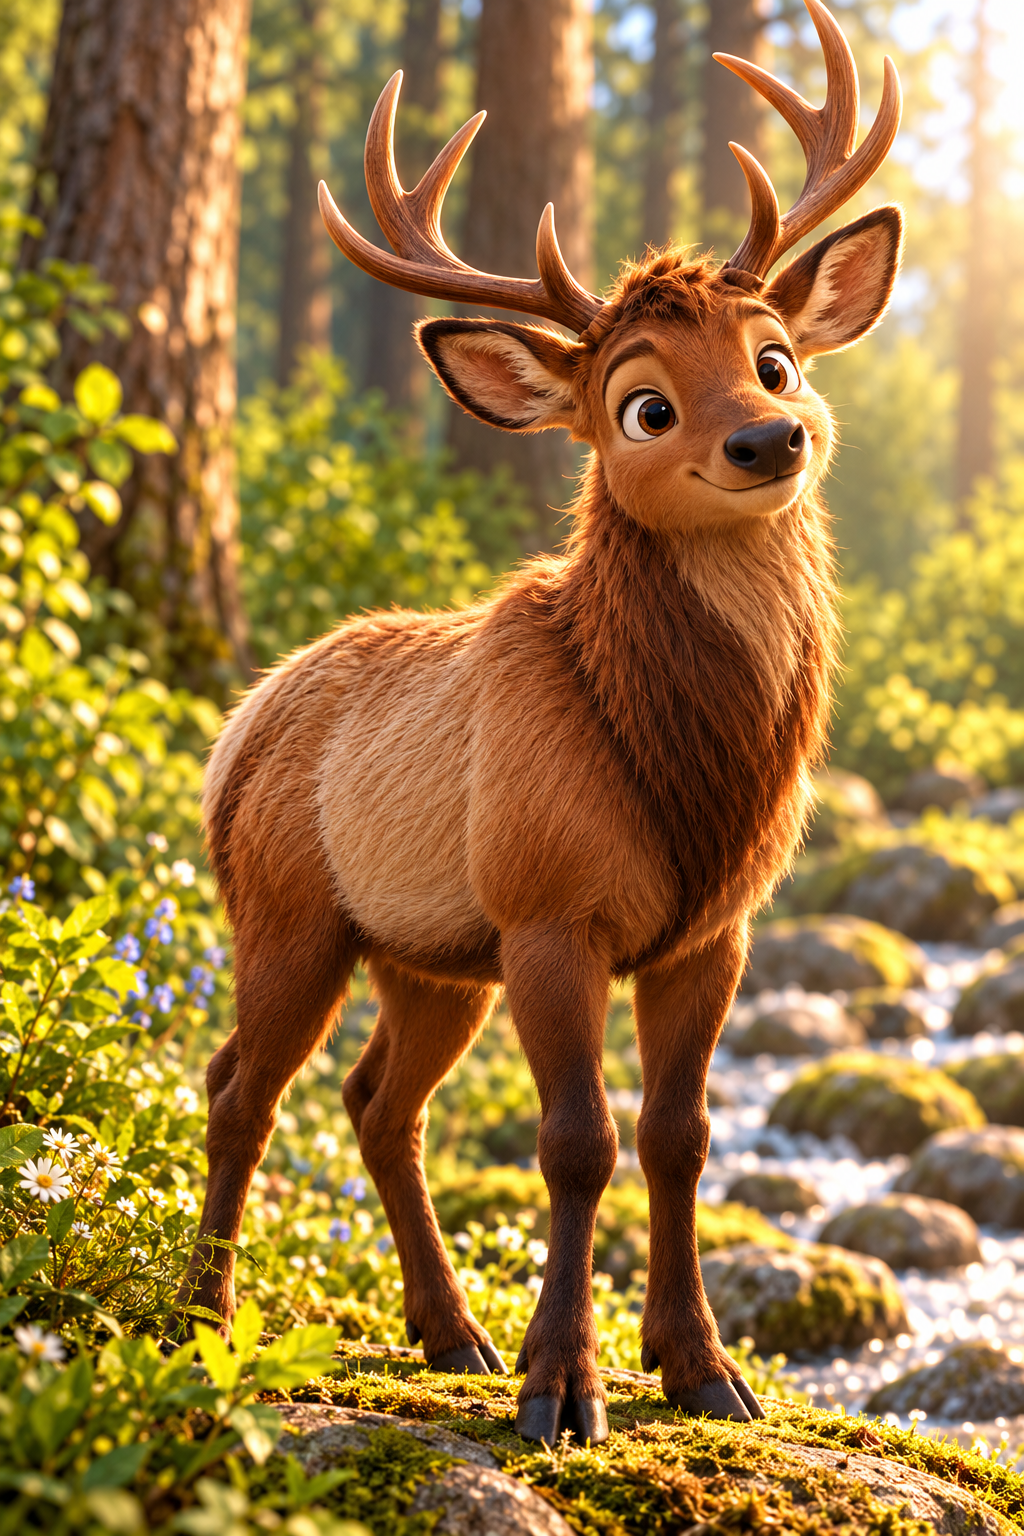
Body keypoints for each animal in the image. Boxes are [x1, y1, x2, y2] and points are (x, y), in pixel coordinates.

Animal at [180, 0, 902, 1447]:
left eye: (776, 358)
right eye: (643, 403)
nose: (771, 438)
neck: (693, 782)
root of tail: (239, 725)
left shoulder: (712, 933)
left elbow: (680, 1136)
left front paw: (703, 1371)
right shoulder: (549, 906)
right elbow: (578, 1142)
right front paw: (563, 1390)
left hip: (428, 958)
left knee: (374, 1101)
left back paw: (445, 1331)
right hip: (288, 910)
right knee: (242, 1087)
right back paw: (204, 1317)